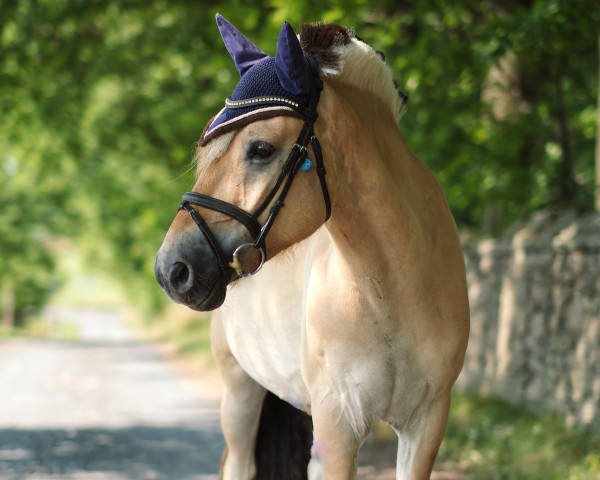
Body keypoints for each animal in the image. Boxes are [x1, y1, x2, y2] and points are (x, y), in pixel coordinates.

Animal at [155, 15, 468, 480]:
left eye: (261, 148)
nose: (171, 269)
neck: (391, 291)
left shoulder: (425, 424)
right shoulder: (338, 427)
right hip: (240, 391)